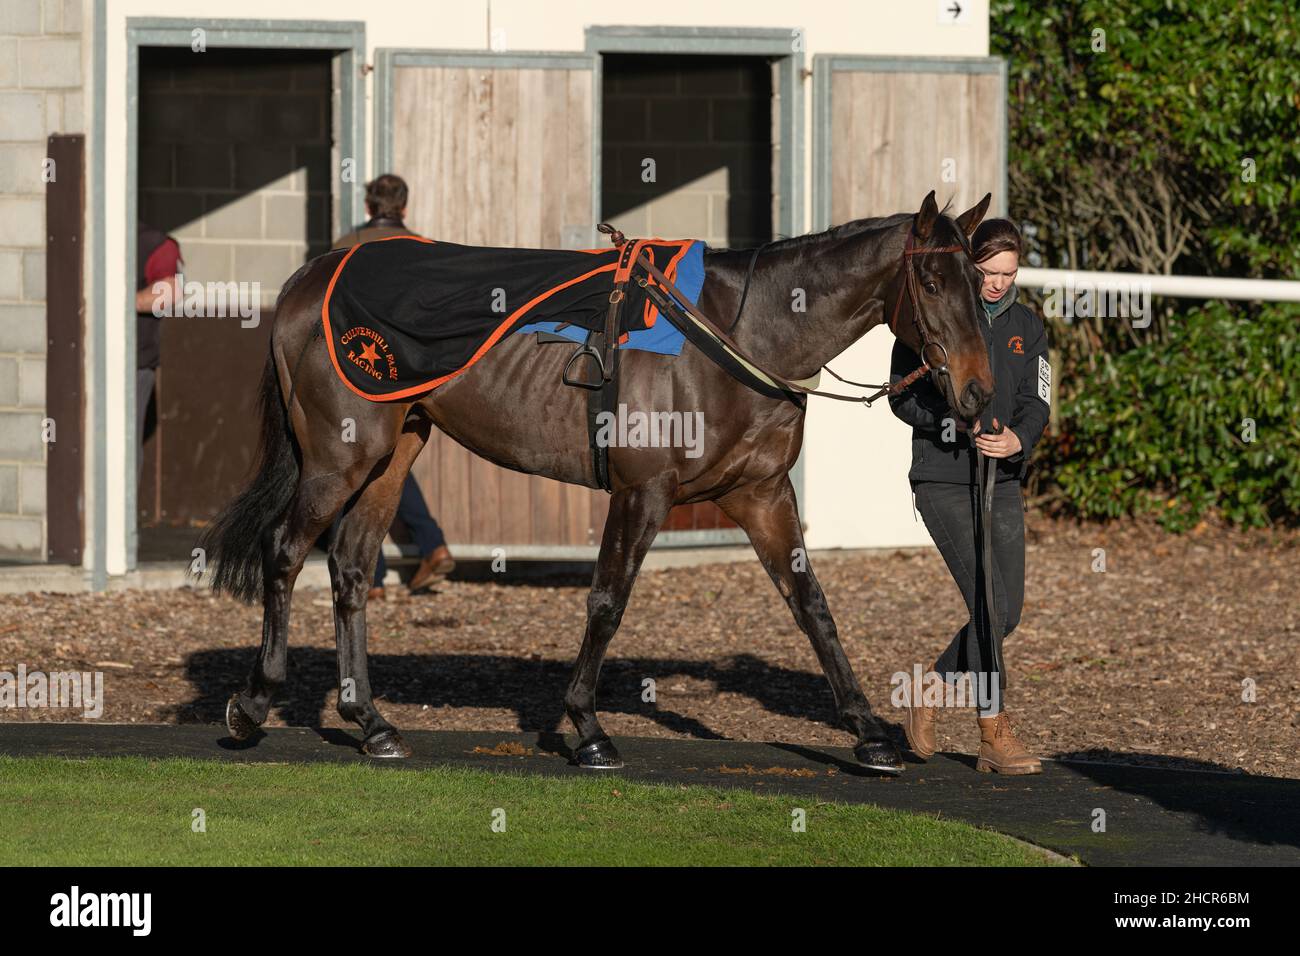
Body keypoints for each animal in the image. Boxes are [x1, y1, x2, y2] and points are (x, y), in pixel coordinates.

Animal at [202, 191, 993, 775]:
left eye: (982, 287)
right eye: (931, 281)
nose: (979, 393)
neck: (735, 334)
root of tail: (308, 280)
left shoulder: (762, 495)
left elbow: (813, 608)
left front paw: (869, 731)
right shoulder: (644, 493)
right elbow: (608, 602)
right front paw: (586, 727)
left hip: (393, 451)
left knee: (350, 567)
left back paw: (370, 721)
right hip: (340, 454)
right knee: (284, 550)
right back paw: (253, 703)